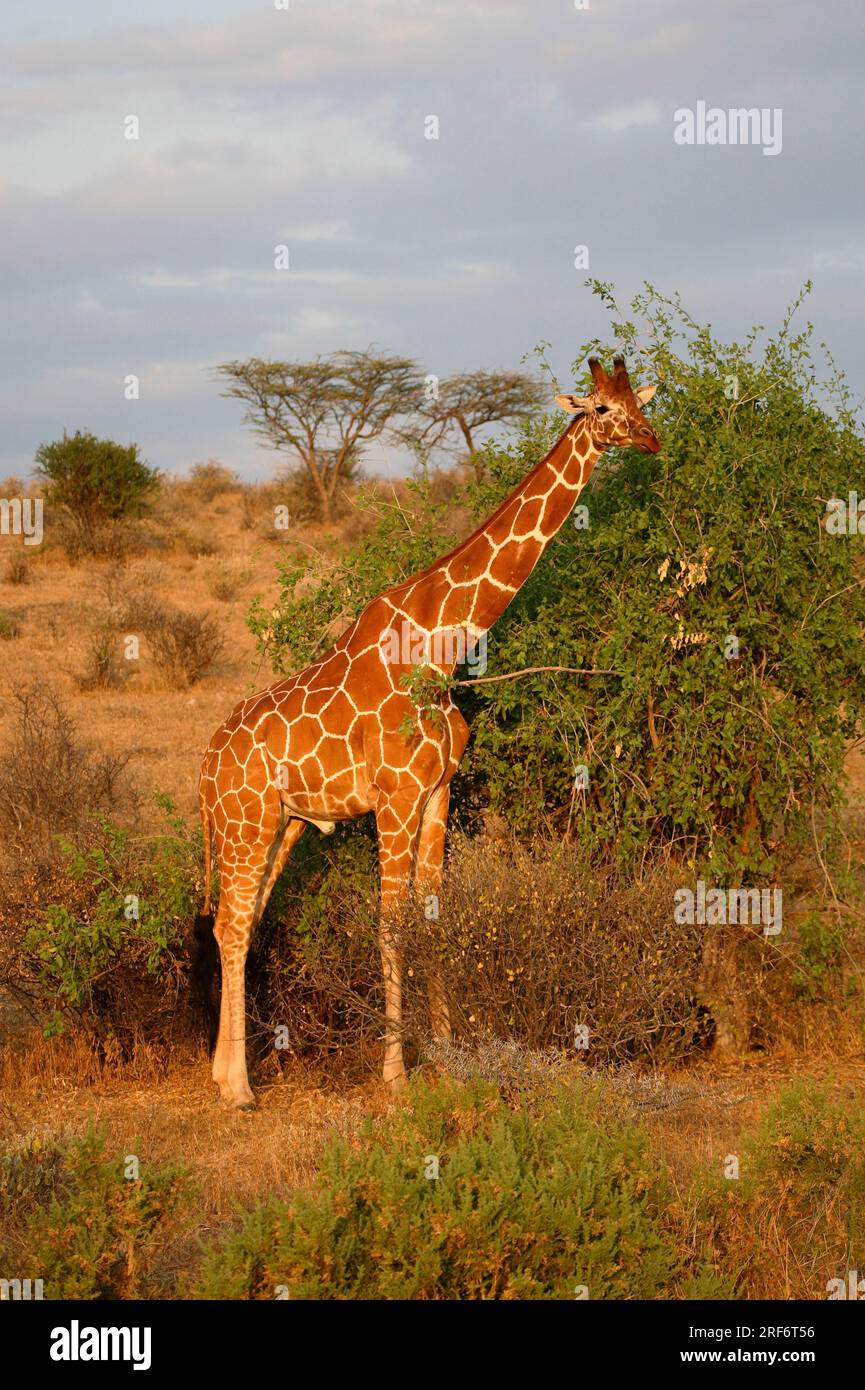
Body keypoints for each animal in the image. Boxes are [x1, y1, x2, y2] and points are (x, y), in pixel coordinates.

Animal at [196, 358, 656, 1106]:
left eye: (639, 401)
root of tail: (205, 764)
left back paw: (221, 1071)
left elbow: (436, 913)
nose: (648, 438)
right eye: (599, 409)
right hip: (246, 821)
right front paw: (395, 1076)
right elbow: (390, 924)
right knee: (233, 924)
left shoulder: (438, 790)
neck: (442, 646)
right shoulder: (395, 797)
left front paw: (445, 1050)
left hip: (279, 823)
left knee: (237, 921)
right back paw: (238, 1088)